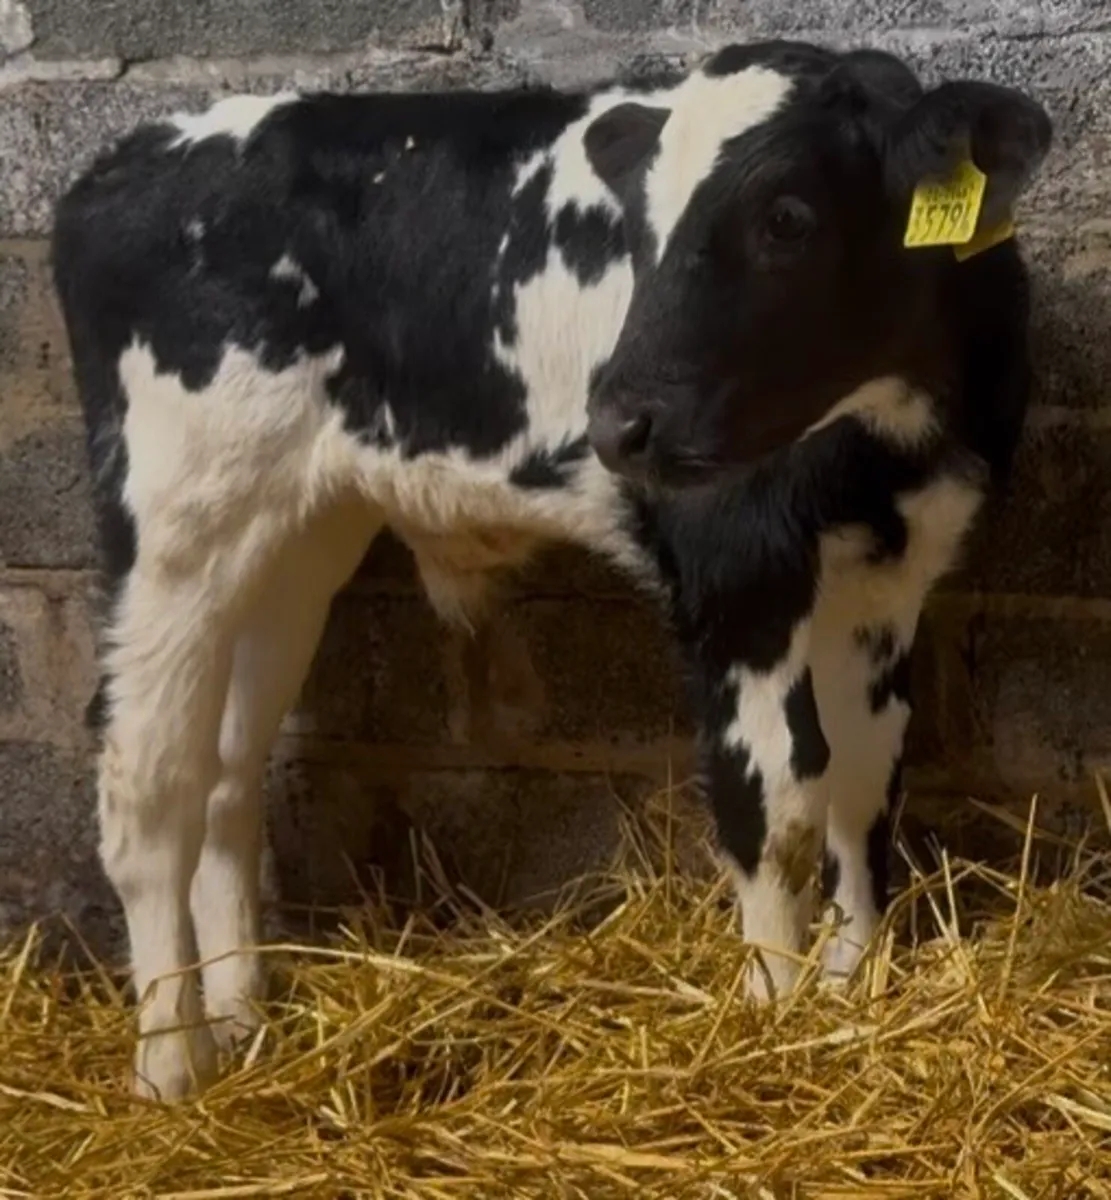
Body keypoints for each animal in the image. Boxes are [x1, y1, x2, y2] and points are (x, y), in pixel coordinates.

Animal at [50, 38, 1052, 1101]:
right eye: (637, 231)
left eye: (787, 216)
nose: (617, 423)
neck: (880, 444)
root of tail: (120, 164)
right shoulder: (734, 574)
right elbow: (777, 801)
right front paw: (773, 1024)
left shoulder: (889, 577)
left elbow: (866, 778)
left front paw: (855, 988)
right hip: (175, 521)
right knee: (147, 782)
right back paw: (173, 1066)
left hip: (291, 537)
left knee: (228, 772)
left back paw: (243, 1017)